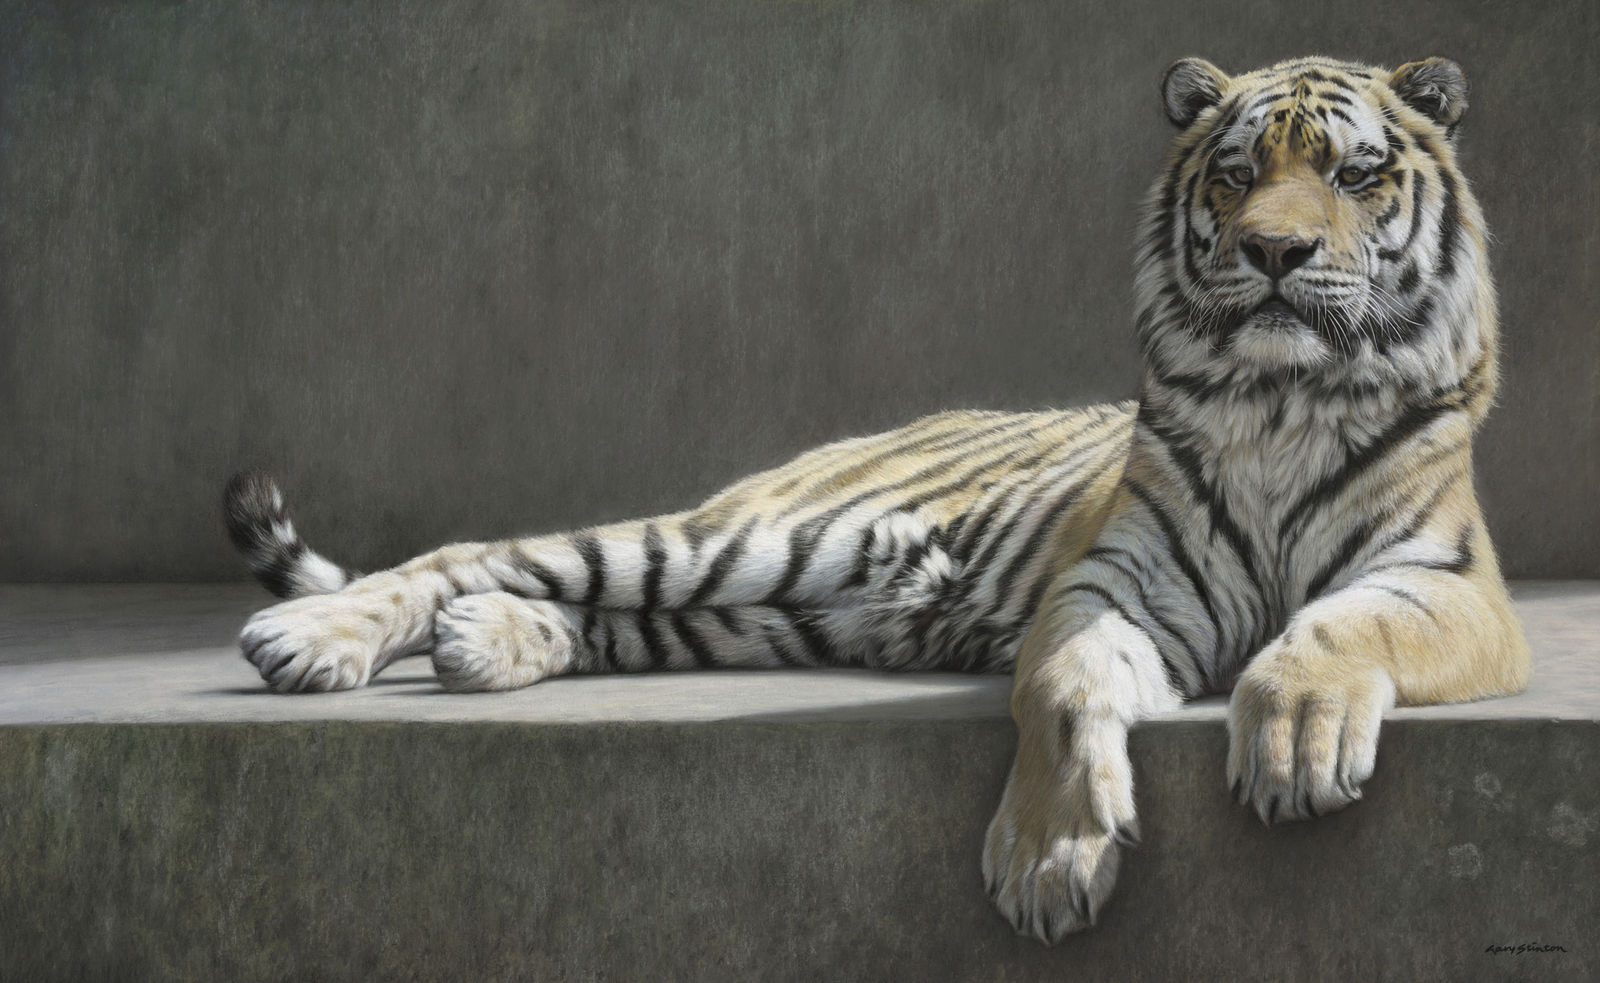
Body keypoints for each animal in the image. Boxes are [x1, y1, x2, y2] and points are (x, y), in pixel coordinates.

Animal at [224, 55, 1531, 944]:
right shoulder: (1108, 587)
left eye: (1355, 175)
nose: (1272, 252)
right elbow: (1062, 696)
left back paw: (482, 643)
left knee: (589, 611)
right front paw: (1046, 861)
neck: (1278, 399)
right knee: (476, 551)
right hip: (749, 542)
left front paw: (1294, 739)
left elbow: (1340, 626)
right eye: (1236, 173)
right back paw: (310, 637)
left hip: (765, 608)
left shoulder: (1445, 585)